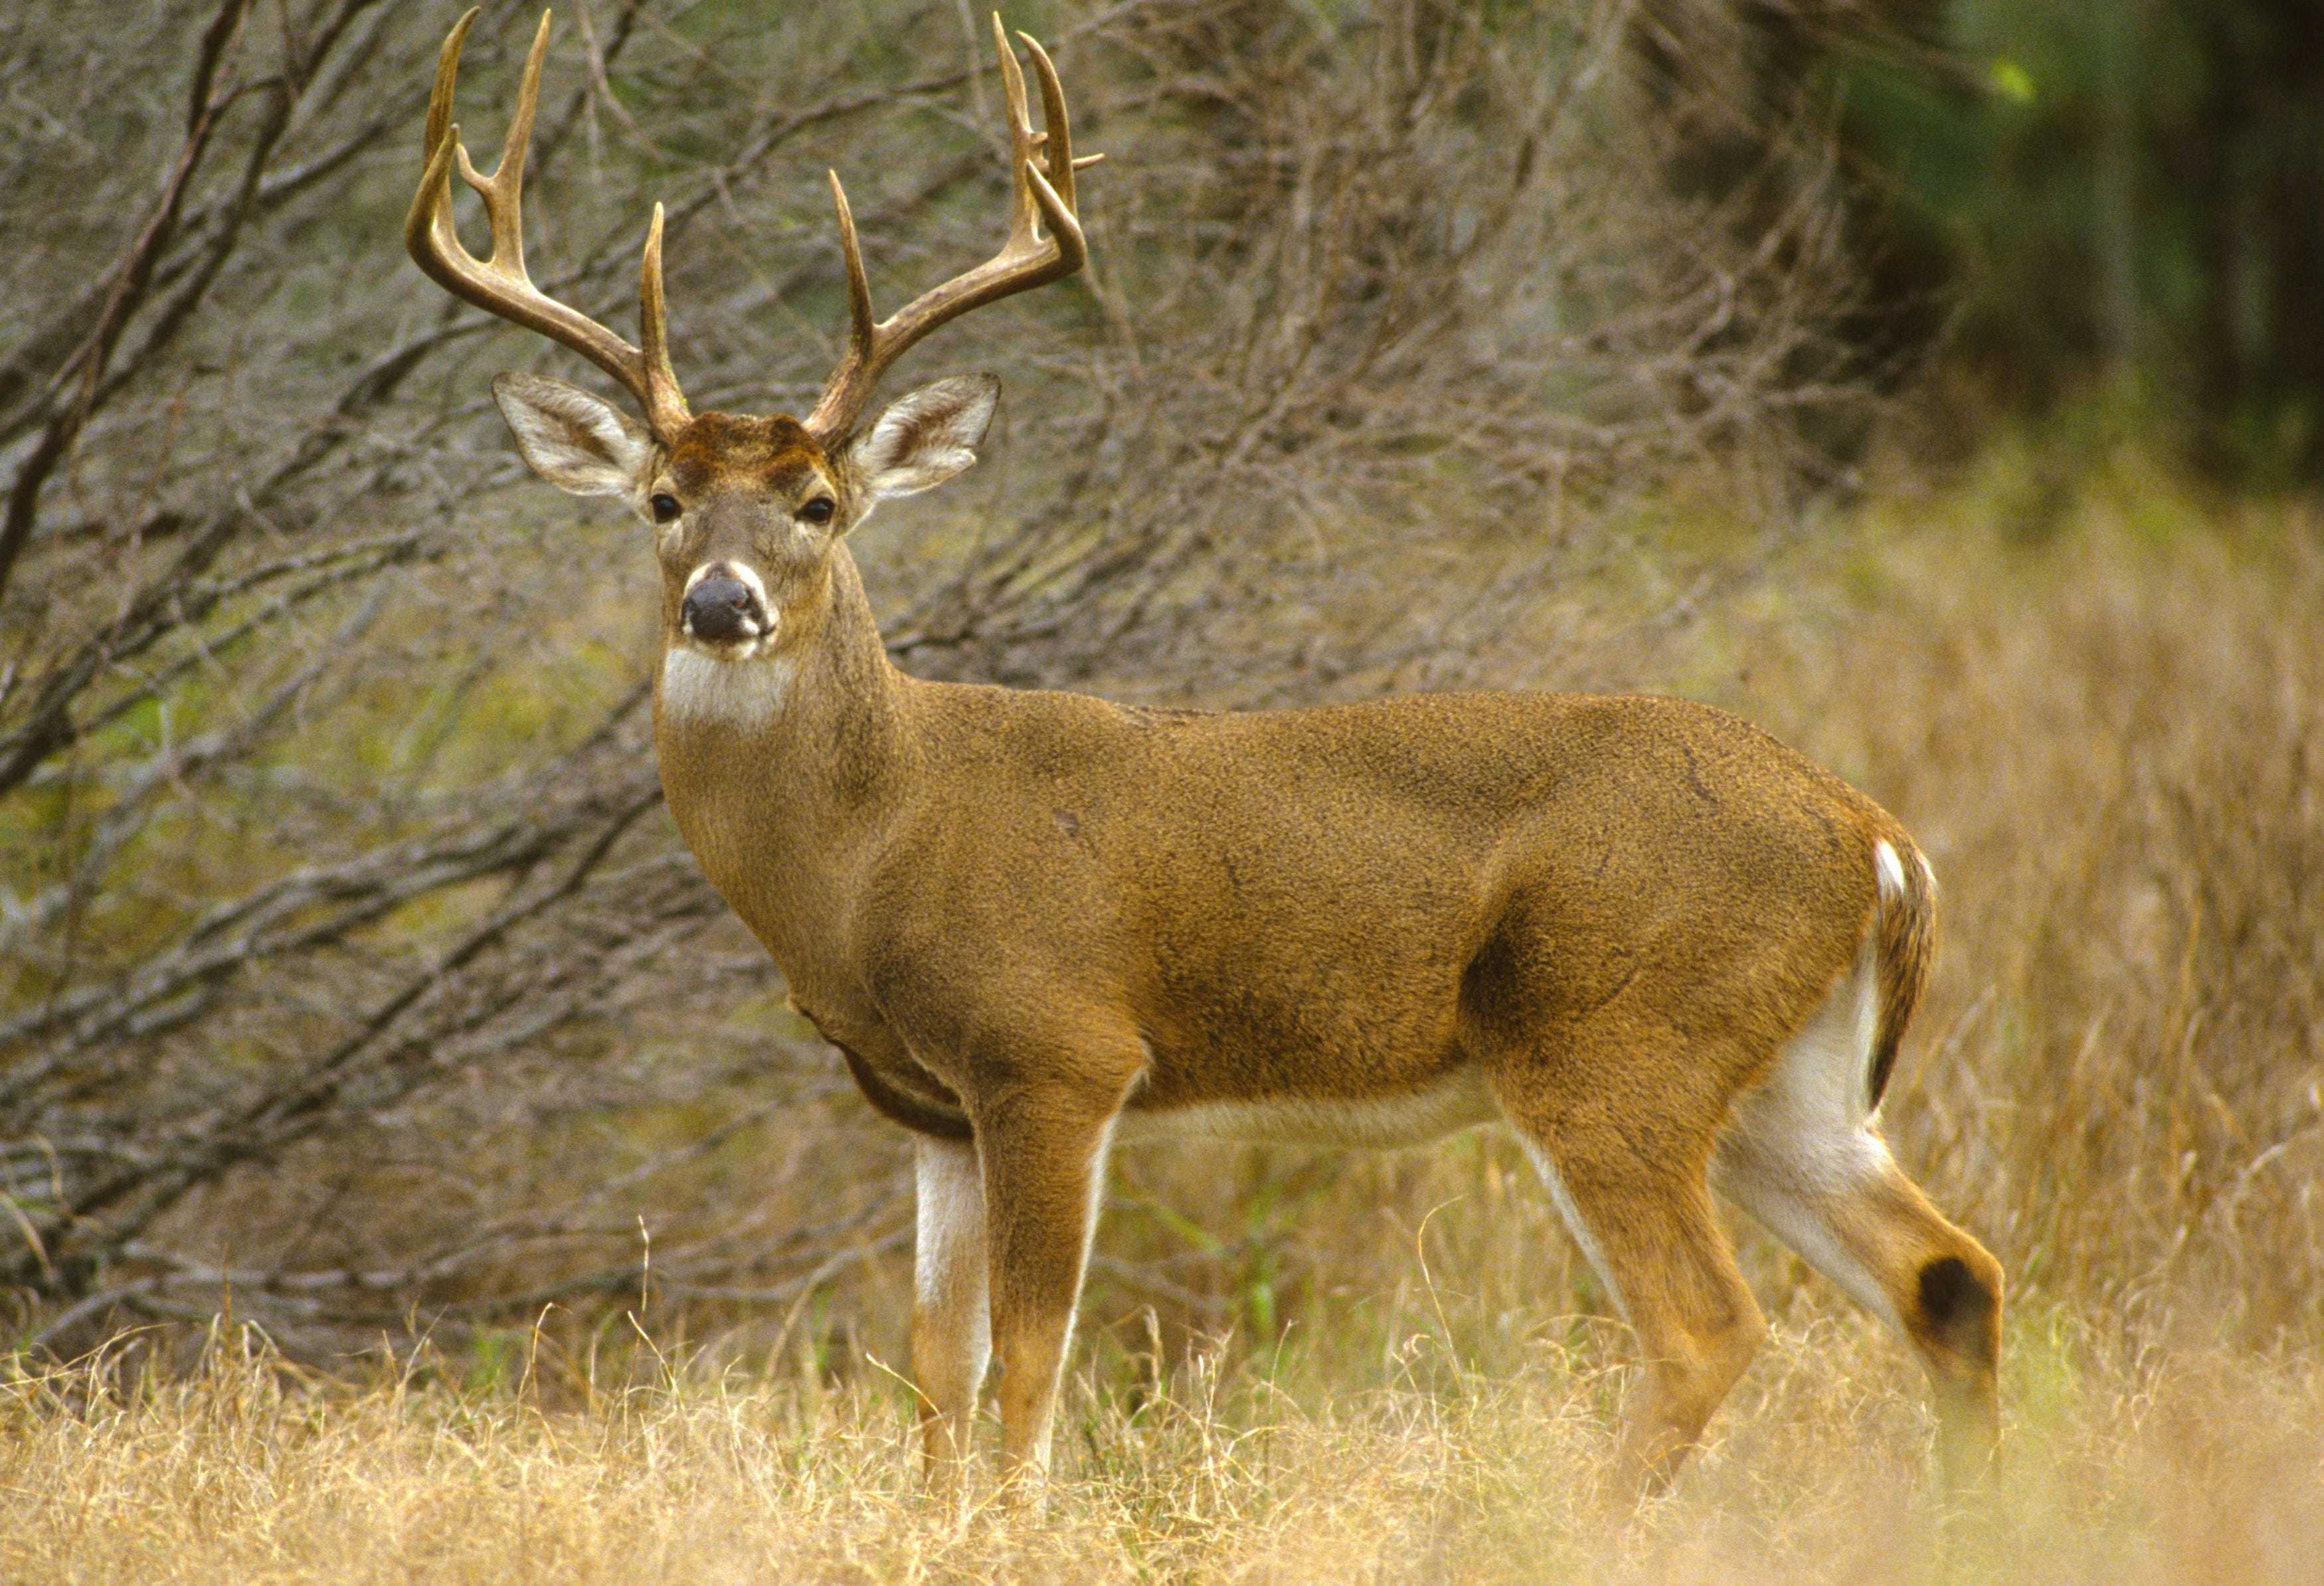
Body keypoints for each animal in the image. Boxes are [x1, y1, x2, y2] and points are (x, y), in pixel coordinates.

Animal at [408, 8, 2003, 1508]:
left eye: (817, 503)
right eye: (663, 500)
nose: (719, 604)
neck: (878, 842)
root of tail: (1876, 836)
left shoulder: (1057, 1050)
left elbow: (1030, 1357)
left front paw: (1017, 1532)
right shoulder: (927, 1107)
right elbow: (934, 1362)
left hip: (1612, 1034)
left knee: (1708, 1323)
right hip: (1783, 1074)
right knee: (1946, 1276)